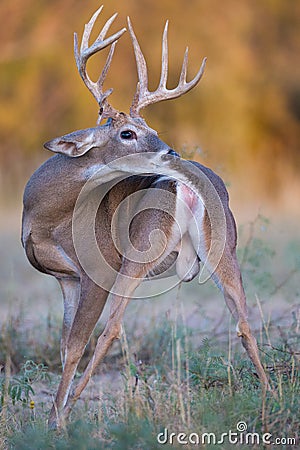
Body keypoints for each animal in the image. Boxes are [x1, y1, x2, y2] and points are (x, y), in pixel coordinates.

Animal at [21, 7, 270, 428]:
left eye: (150, 127)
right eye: (127, 133)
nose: (172, 153)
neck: (42, 215)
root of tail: (188, 188)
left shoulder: (93, 271)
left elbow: (75, 344)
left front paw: (54, 421)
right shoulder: (64, 278)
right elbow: (63, 342)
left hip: (139, 250)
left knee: (112, 328)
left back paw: (68, 411)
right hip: (224, 247)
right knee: (244, 321)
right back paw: (272, 394)